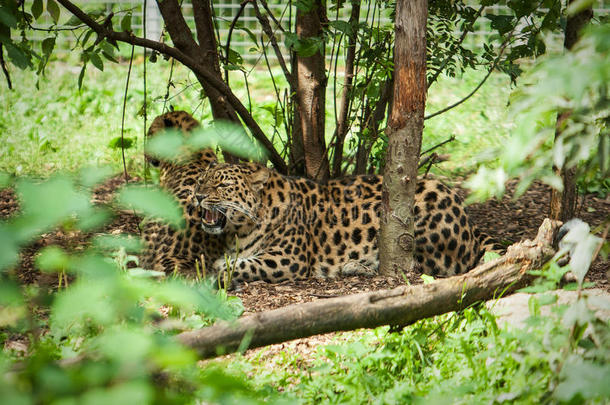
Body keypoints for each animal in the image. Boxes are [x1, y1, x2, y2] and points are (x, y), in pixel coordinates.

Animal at [192, 161, 496, 284]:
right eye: (200, 181)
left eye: (222, 186)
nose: (197, 197)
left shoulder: (288, 259)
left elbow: (240, 266)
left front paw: (213, 273)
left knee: (419, 264)